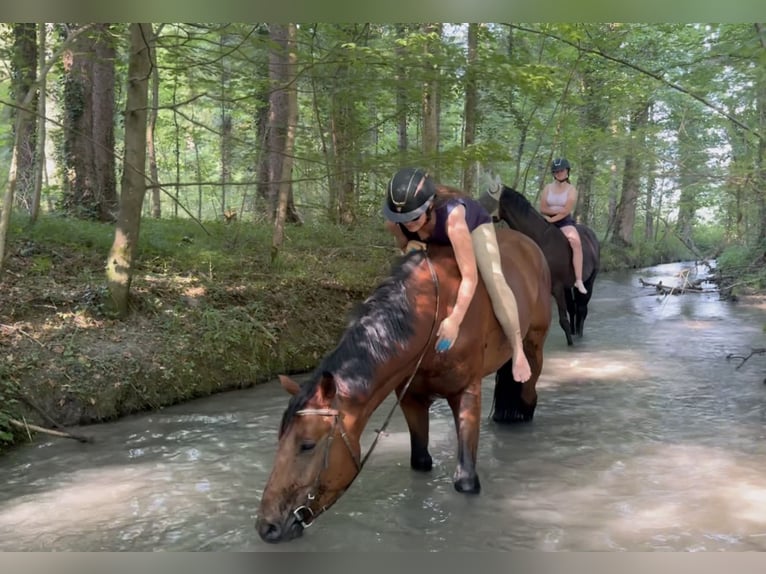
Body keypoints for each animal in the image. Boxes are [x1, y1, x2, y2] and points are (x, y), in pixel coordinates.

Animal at [255, 227, 552, 543]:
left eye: (307, 445)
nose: (267, 526)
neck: (434, 316)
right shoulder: (410, 399)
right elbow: (420, 461)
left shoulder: (466, 392)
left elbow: (466, 481)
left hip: (534, 343)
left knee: (528, 393)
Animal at [479, 185, 600, 346]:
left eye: (487, 199)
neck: (540, 240)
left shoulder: (557, 287)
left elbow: (563, 320)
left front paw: (570, 345)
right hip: (569, 286)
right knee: (573, 308)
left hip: (589, 281)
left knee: (581, 308)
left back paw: (579, 336)